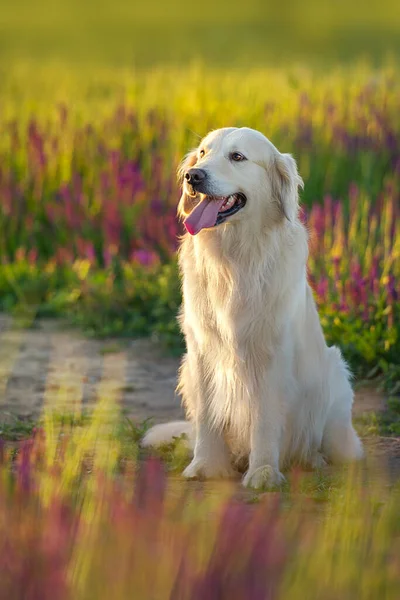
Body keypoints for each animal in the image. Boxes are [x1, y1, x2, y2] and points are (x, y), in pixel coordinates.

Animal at [143, 126, 362, 488]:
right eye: (202, 153)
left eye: (237, 156)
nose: (193, 176)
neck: (234, 257)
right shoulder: (202, 349)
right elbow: (208, 416)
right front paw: (206, 466)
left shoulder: (270, 353)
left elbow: (264, 419)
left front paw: (263, 472)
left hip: (335, 376)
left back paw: (315, 458)